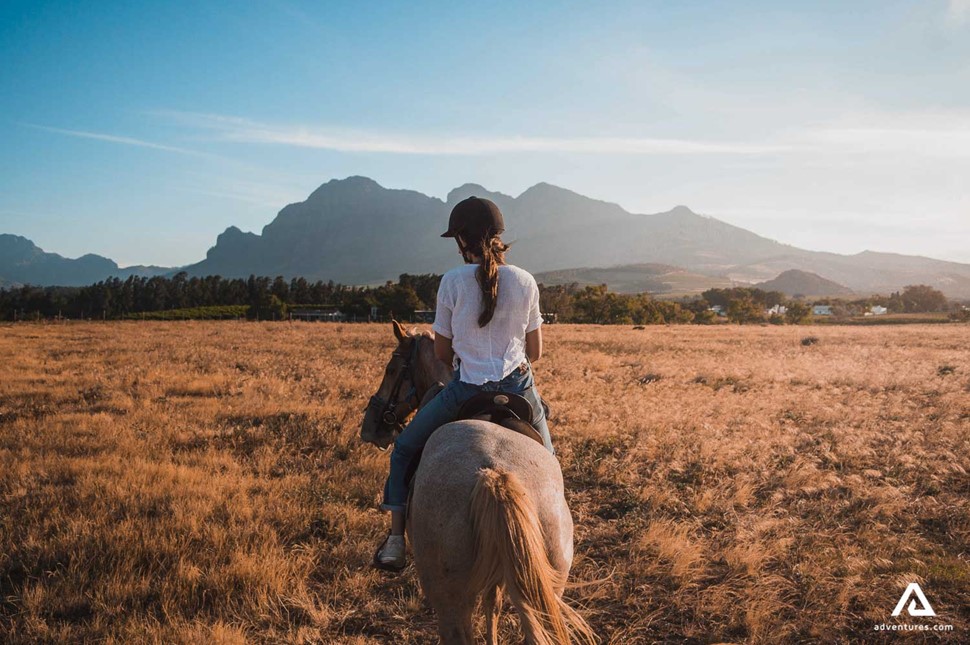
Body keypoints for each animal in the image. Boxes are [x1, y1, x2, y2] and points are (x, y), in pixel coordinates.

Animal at [362, 322, 592, 644]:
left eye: (392, 369)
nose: (371, 428)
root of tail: (496, 475)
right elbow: (493, 604)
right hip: (547, 582)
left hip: (448, 596)